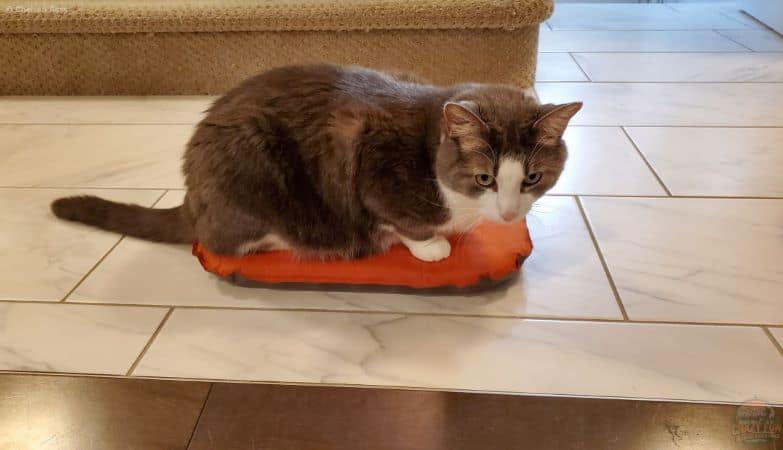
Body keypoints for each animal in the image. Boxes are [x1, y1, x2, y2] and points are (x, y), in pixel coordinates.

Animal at [52, 64, 580, 262]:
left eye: (533, 178)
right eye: (484, 178)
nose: (509, 214)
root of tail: (191, 196)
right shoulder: (376, 171)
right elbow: (403, 221)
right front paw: (430, 246)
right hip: (252, 169)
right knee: (226, 243)